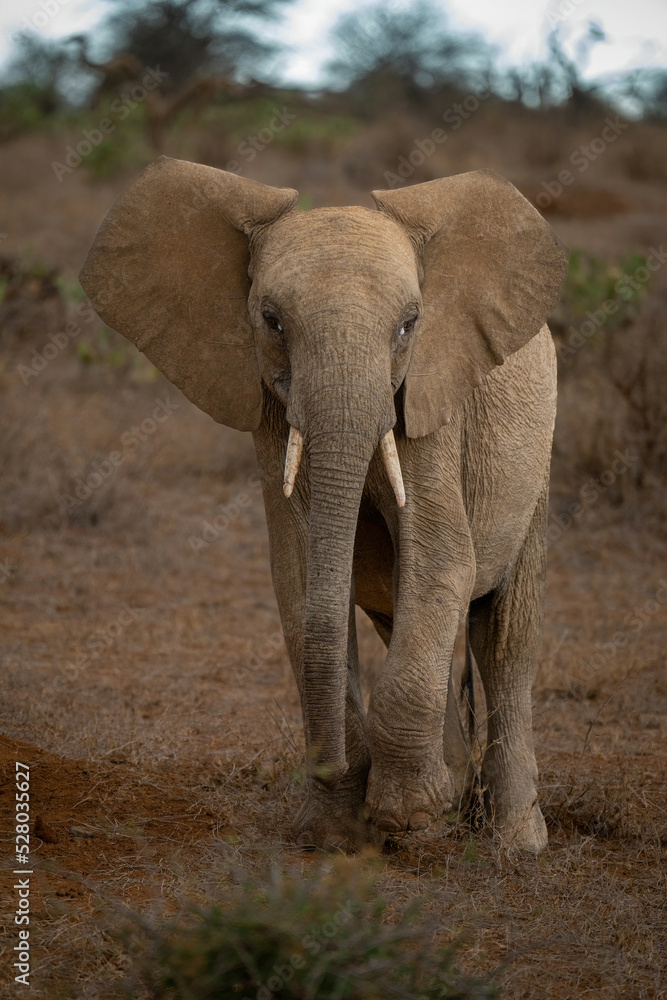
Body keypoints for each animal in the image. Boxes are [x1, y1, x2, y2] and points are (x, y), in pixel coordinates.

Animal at [80, 157, 568, 854]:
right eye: (272, 320)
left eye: (410, 324)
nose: (332, 764)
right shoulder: (268, 406)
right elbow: (301, 575)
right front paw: (345, 828)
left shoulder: (428, 401)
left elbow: (442, 558)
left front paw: (405, 817)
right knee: (402, 618)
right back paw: (453, 805)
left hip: (538, 458)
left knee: (503, 636)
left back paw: (512, 842)